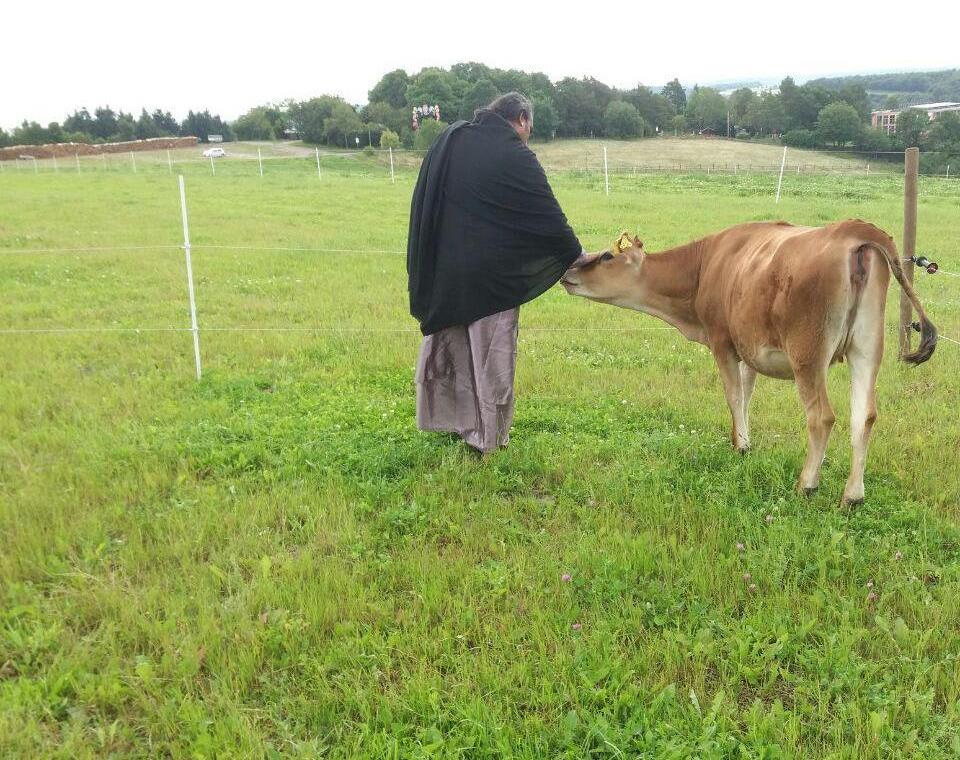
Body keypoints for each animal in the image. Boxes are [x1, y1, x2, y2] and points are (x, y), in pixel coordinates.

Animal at [564, 220, 936, 504]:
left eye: (608, 255)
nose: (568, 271)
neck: (706, 266)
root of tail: (852, 229)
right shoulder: (748, 350)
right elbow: (745, 396)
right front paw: (740, 440)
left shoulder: (722, 341)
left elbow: (732, 396)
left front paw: (741, 447)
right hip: (867, 347)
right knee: (865, 416)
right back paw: (853, 496)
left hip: (808, 354)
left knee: (822, 417)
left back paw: (806, 485)